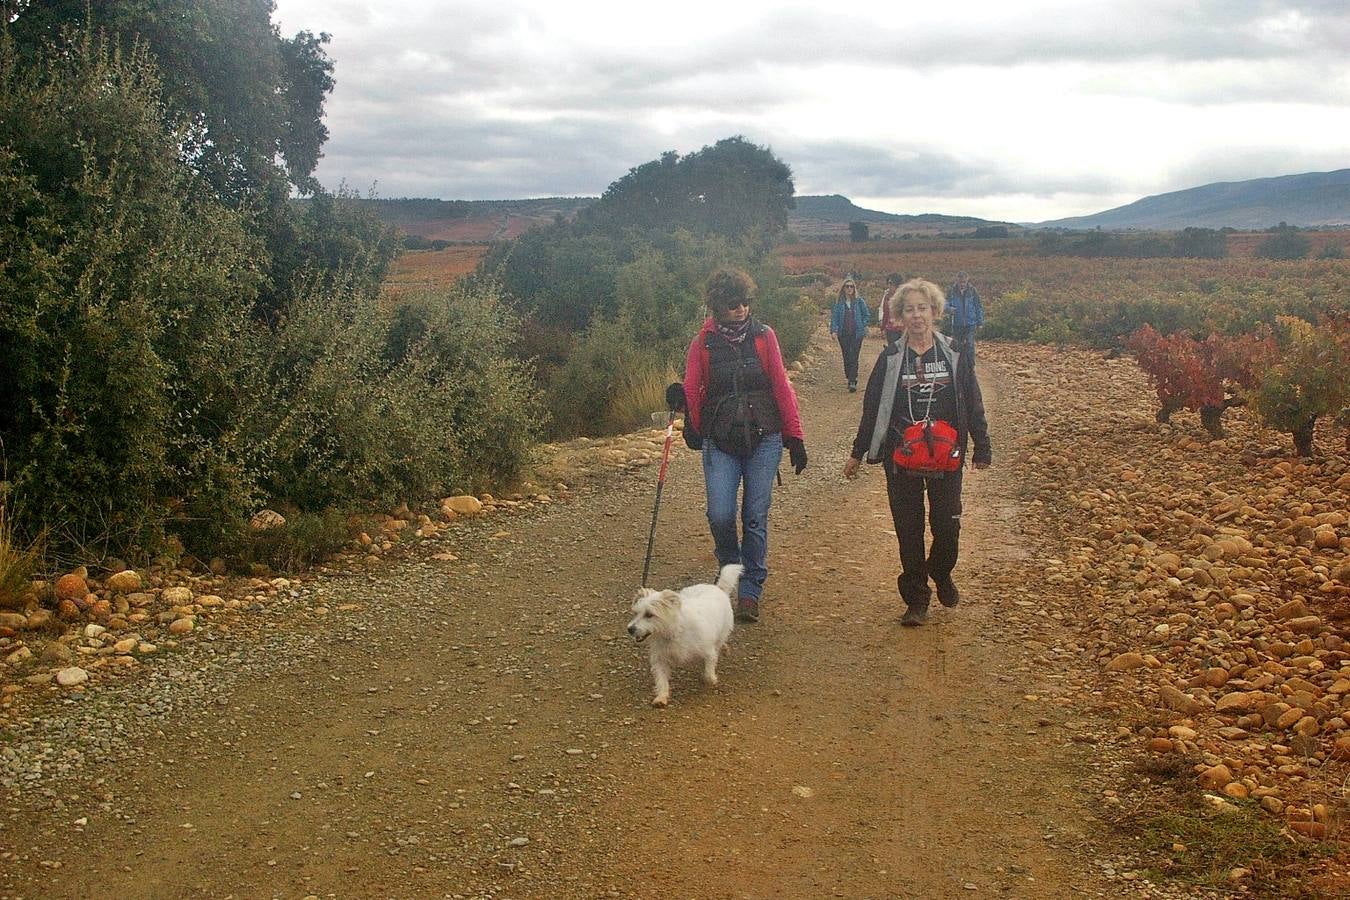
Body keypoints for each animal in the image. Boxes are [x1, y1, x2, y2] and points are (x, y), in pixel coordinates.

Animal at [626, 566, 745, 707]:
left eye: (649, 614)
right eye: (636, 613)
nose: (630, 629)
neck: (675, 632)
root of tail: (717, 588)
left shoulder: (708, 651)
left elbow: (709, 669)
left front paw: (711, 679)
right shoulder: (660, 659)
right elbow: (661, 680)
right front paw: (661, 697)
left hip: (722, 633)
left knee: (720, 644)